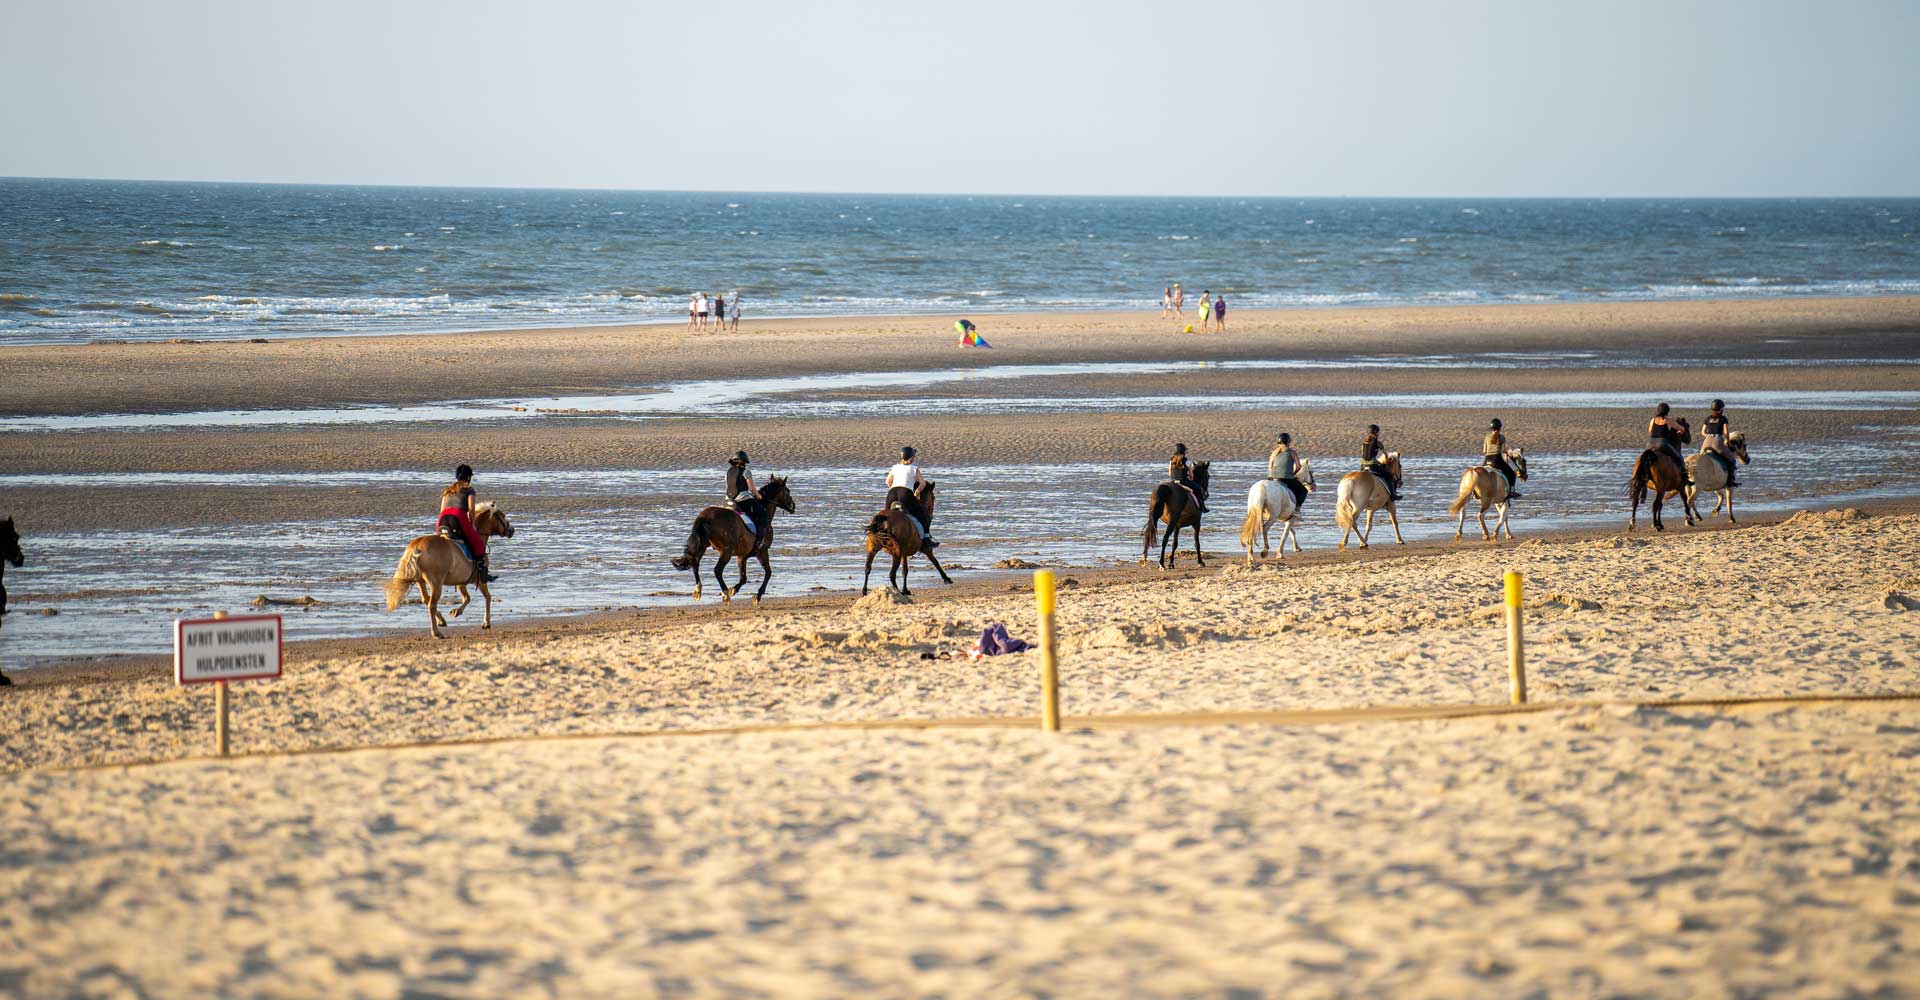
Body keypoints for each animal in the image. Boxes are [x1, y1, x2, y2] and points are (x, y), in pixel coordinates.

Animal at [382, 502, 514, 637]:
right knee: (431, 605)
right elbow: (487, 597)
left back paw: (441, 620)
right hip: (436, 583)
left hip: (420, 580)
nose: (511, 530)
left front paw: (456, 611)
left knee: (426, 599)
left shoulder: (461, 582)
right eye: (503, 516)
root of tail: (417, 547)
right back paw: (436, 632)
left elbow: (467, 598)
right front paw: (486, 623)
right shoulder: (480, 580)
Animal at [675, 477, 794, 606]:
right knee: (717, 570)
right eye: (787, 491)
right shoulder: (762, 551)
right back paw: (725, 594)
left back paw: (698, 590)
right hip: (726, 551)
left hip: (703, 544)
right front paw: (757, 596)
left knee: (695, 564)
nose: (793, 506)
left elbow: (743, 577)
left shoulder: (742, 556)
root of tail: (705, 516)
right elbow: (768, 573)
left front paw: (734, 589)